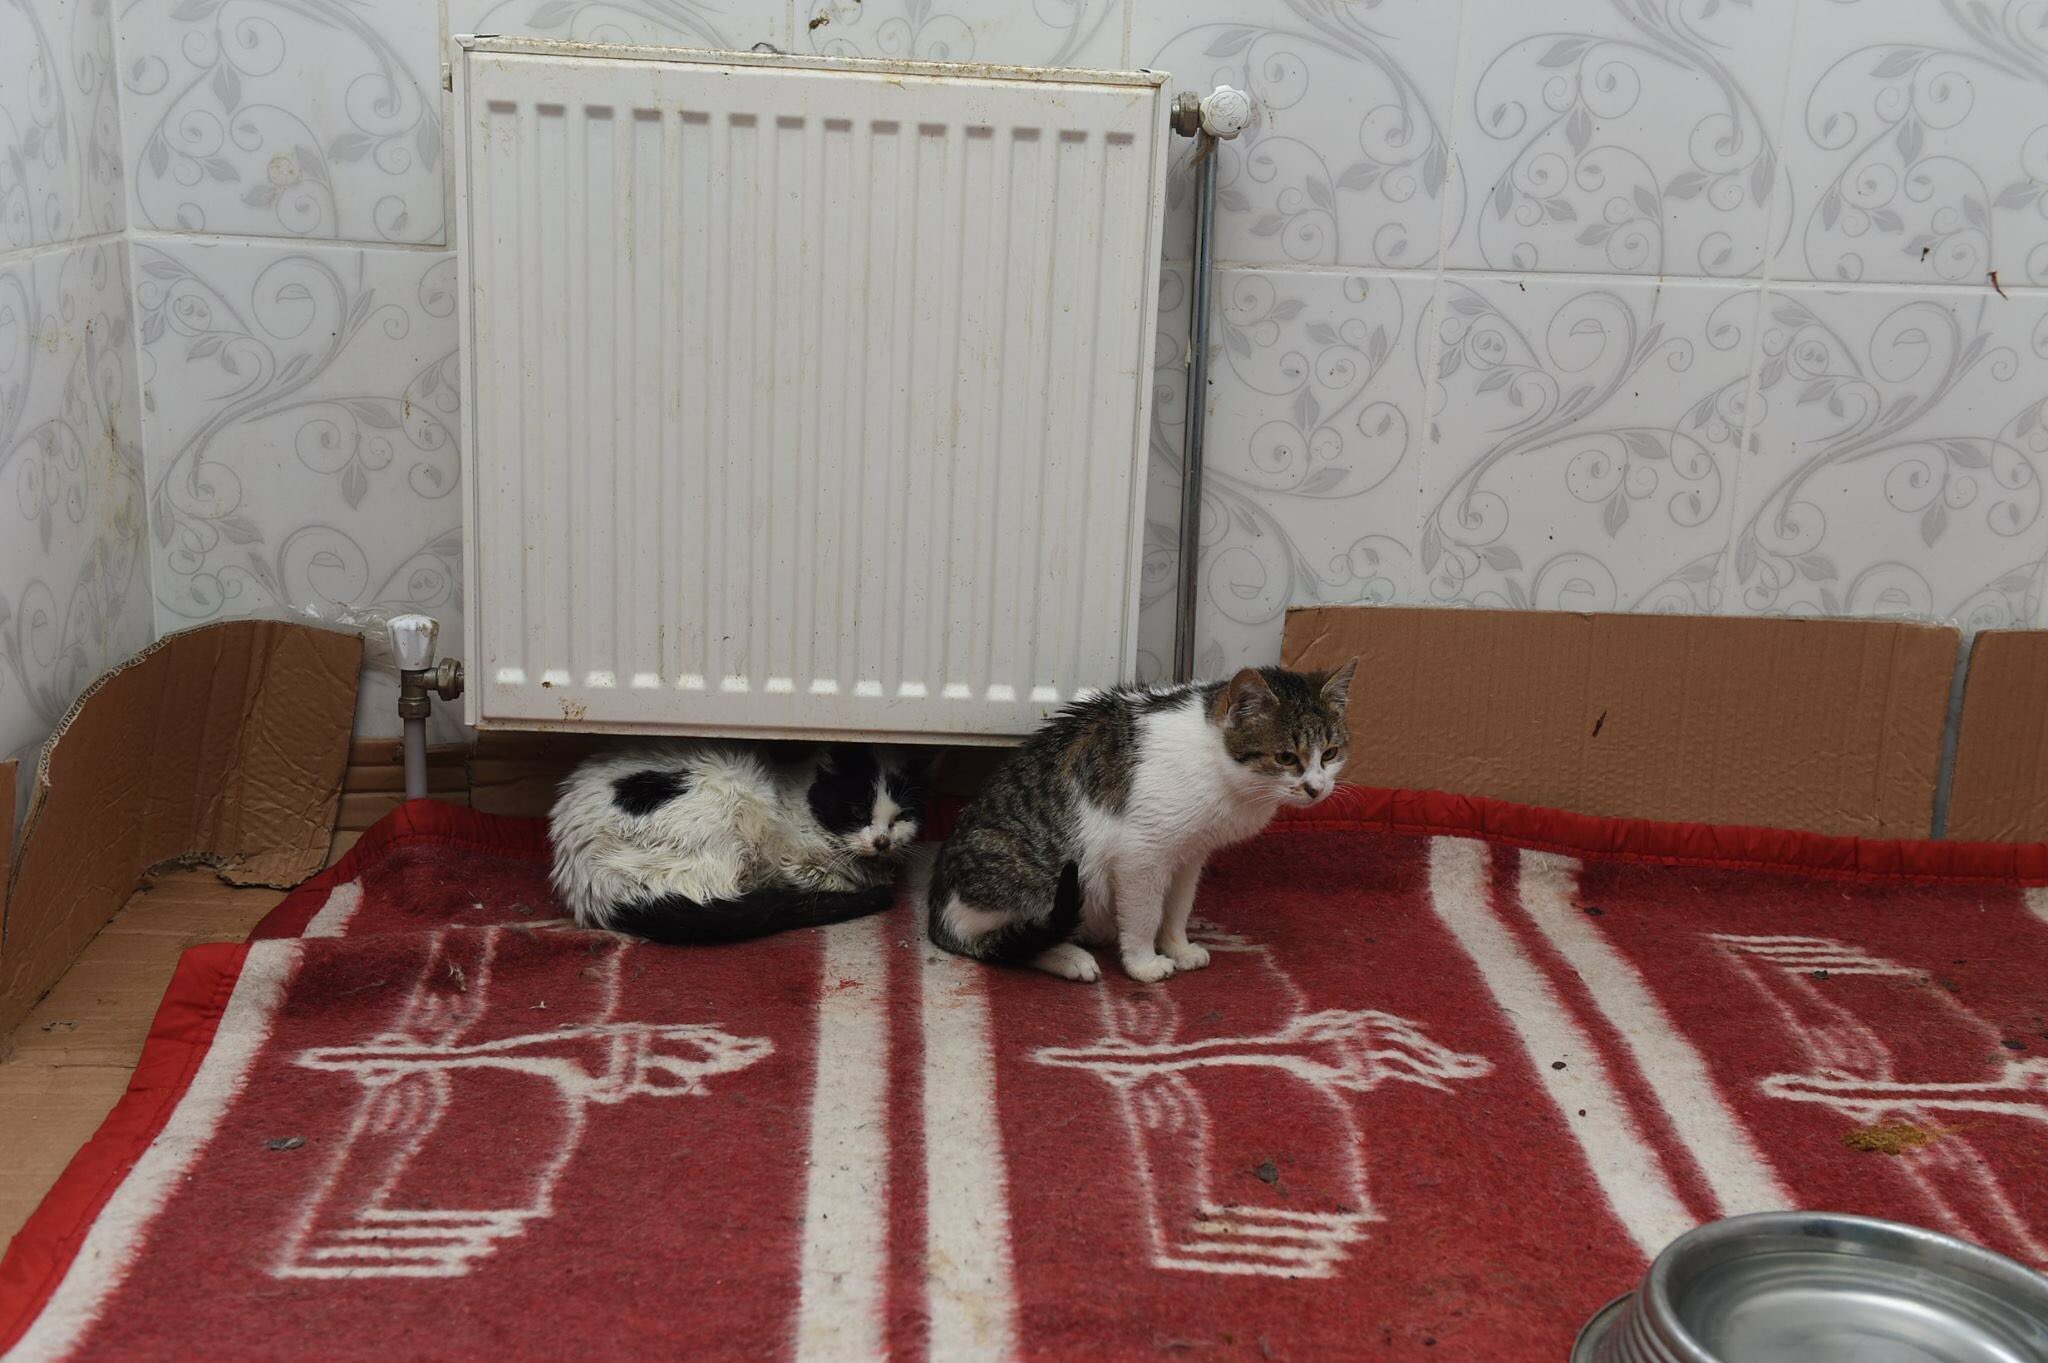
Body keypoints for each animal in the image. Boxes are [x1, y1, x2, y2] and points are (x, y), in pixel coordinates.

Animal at [549, 742, 931, 944]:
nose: (882, 841)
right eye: (857, 811)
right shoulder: (792, 861)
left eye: (902, 817)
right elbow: (824, 880)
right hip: (733, 800)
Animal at [926, 661, 1355, 983]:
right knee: (1011, 938)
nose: (1317, 789)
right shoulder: (1141, 853)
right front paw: (1144, 963)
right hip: (1045, 873)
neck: (1216, 762)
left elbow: (1178, 907)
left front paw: (1178, 947)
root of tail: (938, 911)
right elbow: (1145, 913)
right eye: (1286, 758)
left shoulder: (1190, 853)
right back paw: (1072, 957)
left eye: (1331, 753)